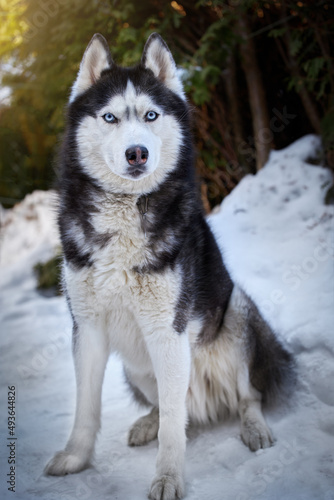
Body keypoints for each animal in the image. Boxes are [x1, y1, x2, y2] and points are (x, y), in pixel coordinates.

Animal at [45, 33, 292, 498]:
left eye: (150, 115)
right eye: (110, 117)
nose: (136, 153)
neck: (125, 214)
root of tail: (207, 404)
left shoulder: (167, 329)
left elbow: (175, 432)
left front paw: (168, 478)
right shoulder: (87, 326)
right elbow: (86, 407)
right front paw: (75, 458)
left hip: (237, 314)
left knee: (244, 397)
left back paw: (253, 428)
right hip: (135, 365)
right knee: (171, 408)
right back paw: (148, 423)